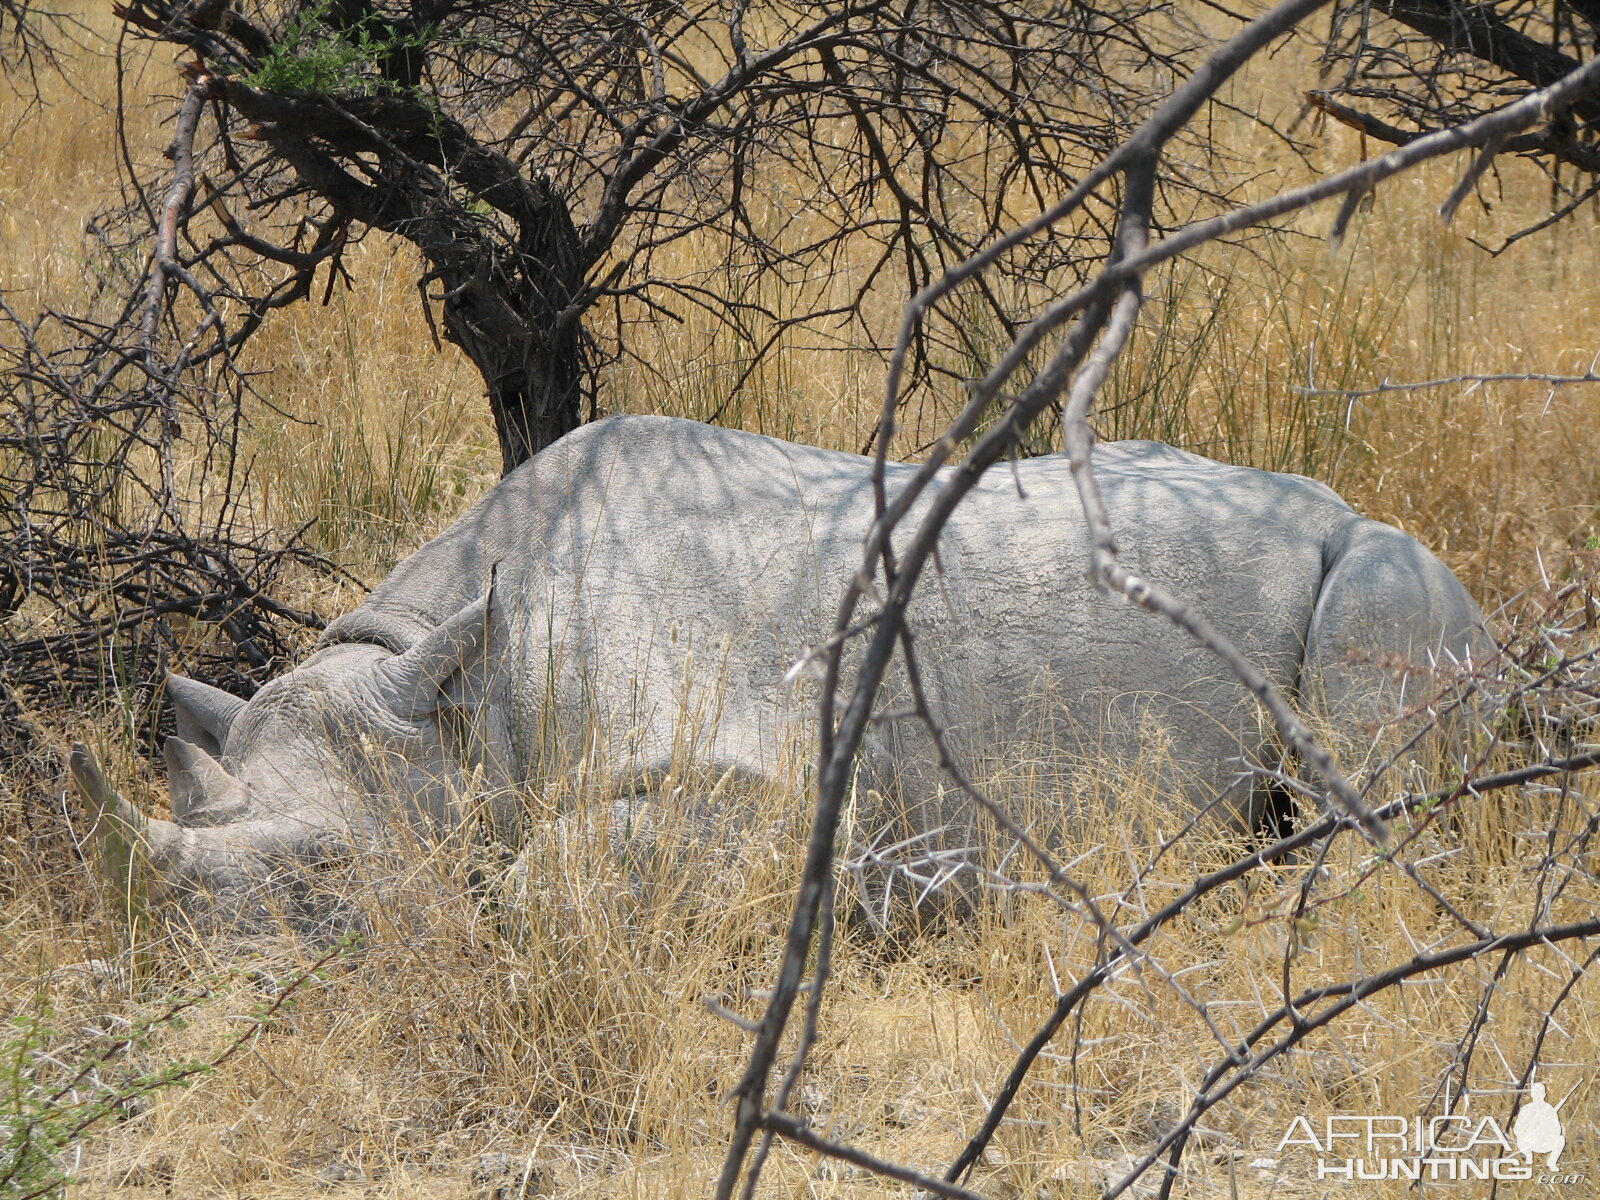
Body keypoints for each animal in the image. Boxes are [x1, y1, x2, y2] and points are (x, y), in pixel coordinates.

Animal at [62, 412, 1484, 928]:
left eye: (327, 880)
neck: (457, 695)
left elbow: (535, 879)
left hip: (1381, 573)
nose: (199, 969)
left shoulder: (774, 791)